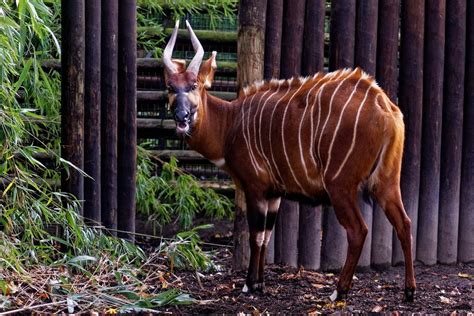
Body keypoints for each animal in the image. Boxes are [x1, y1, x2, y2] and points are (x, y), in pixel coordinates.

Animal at [163, 19, 414, 302]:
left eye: (194, 85)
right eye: (171, 88)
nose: (182, 117)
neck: (230, 123)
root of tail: (384, 105)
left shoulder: (255, 188)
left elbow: (255, 236)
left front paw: (249, 285)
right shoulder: (274, 194)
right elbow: (266, 237)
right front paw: (261, 284)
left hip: (341, 185)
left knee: (358, 230)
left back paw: (338, 292)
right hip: (386, 181)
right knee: (404, 223)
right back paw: (409, 291)